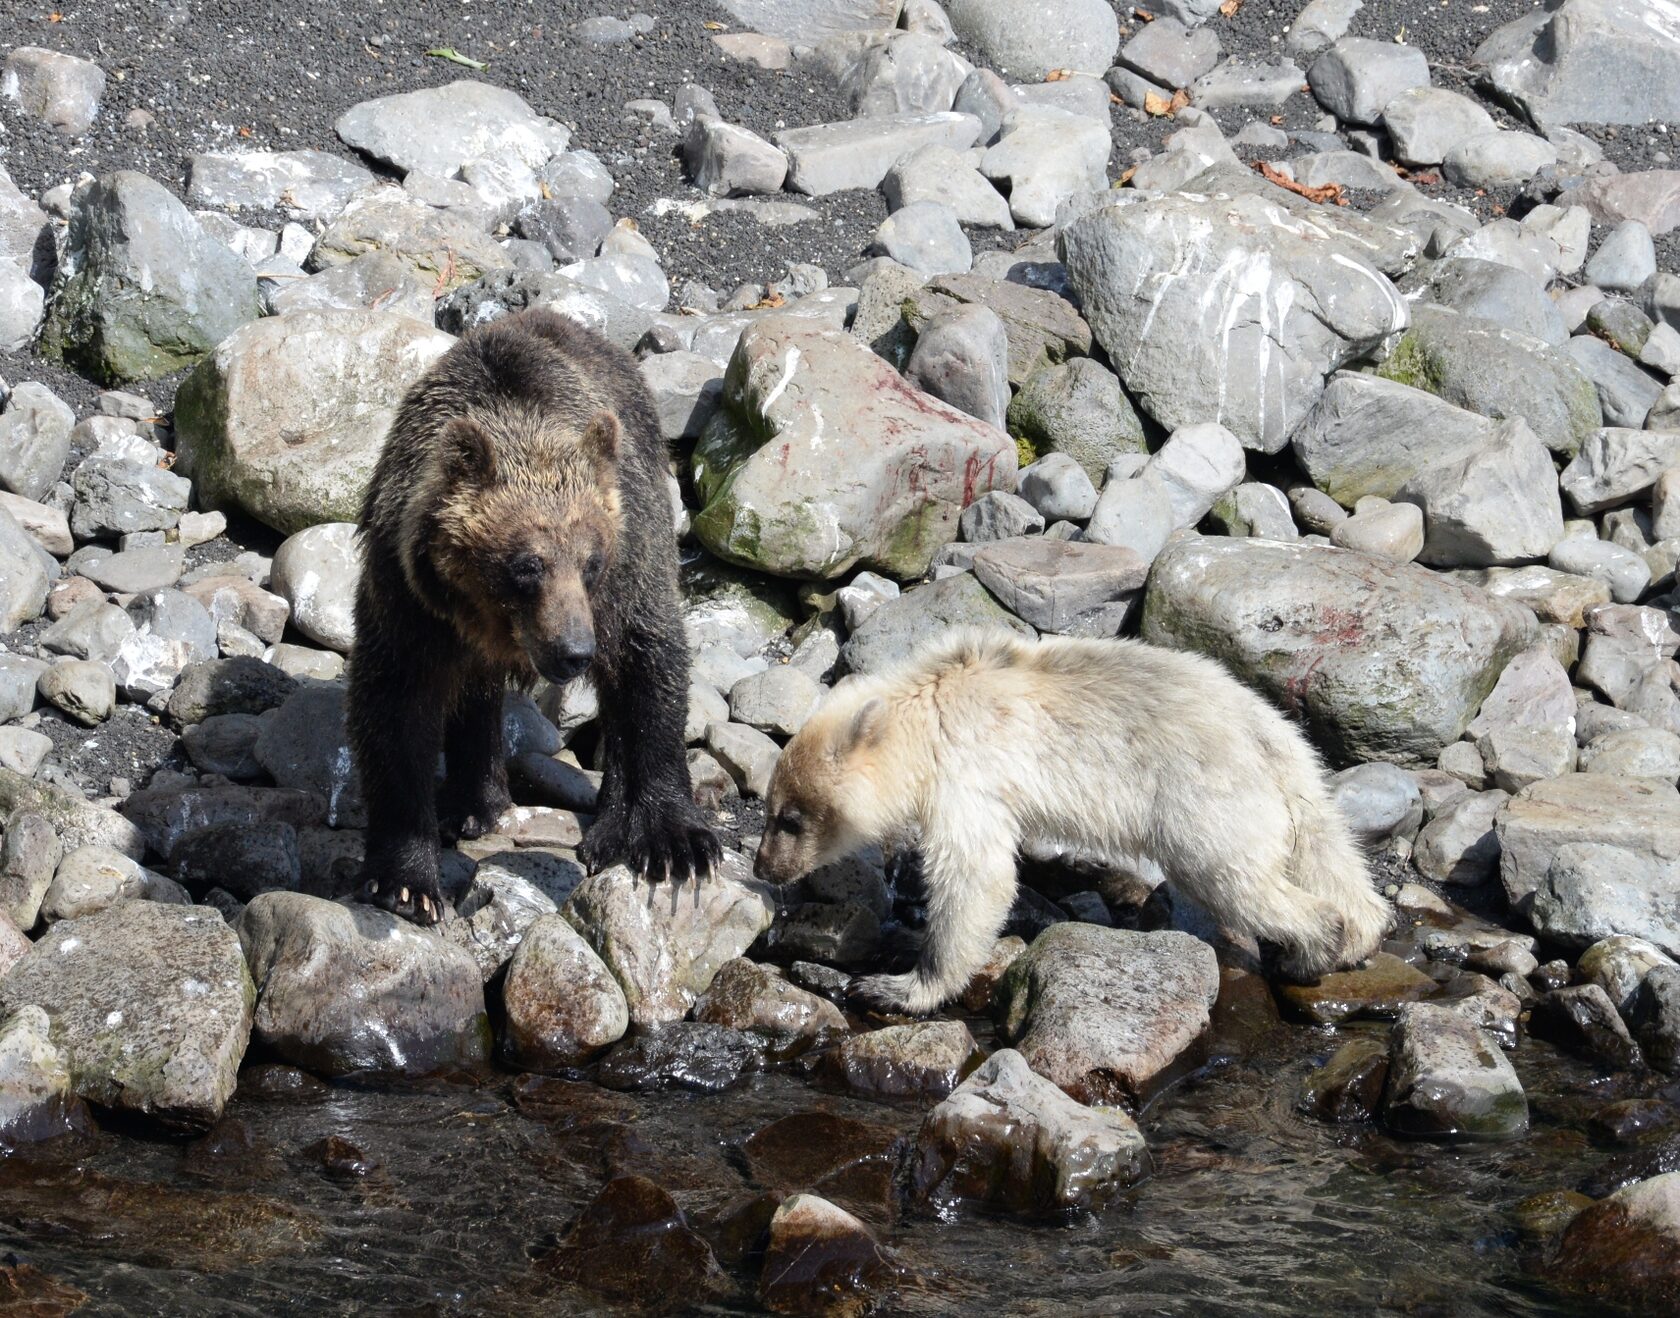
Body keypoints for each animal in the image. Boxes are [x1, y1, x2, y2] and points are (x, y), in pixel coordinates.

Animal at [347, 308, 715, 926]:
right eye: (526, 565)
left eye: (591, 562)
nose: (574, 652)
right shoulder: (409, 597)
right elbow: (395, 705)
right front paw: (404, 881)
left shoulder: (626, 565)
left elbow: (648, 661)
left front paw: (673, 840)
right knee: (474, 692)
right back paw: (471, 804)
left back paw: (608, 826)